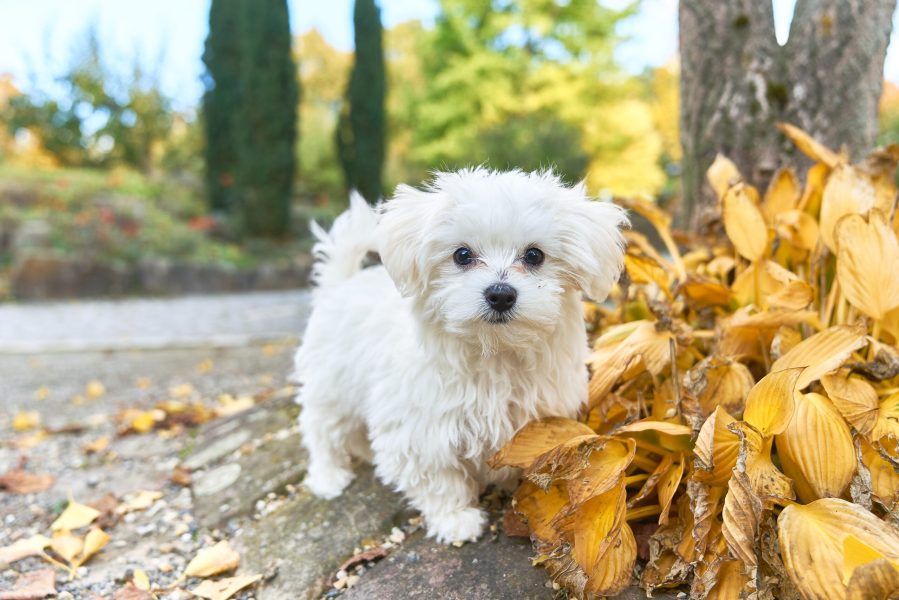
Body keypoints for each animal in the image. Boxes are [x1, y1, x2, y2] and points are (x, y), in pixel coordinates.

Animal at [296, 168, 624, 544]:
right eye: (462, 255)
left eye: (534, 256)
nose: (500, 294)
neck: (494, 353)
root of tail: (340, 284)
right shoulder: (419, 430)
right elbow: (438, 478)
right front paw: (455, 519)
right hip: (331, 387)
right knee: (321, 430)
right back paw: (328, 477)